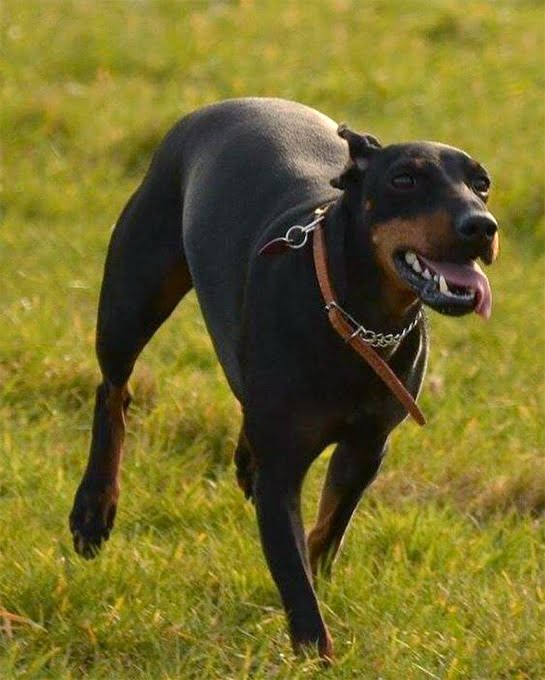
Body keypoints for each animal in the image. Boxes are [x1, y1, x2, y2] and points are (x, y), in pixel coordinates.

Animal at [70, 97, 500, 660]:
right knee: (113, 390)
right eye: (404, 178)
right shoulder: (283, 473)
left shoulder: (366, 447)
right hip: (134, 294)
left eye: (482, 183)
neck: (357, 318)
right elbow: (295, 575)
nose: (483, 226)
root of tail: (220, 105)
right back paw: (93, 510)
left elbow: (325, 535)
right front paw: (317, 655)